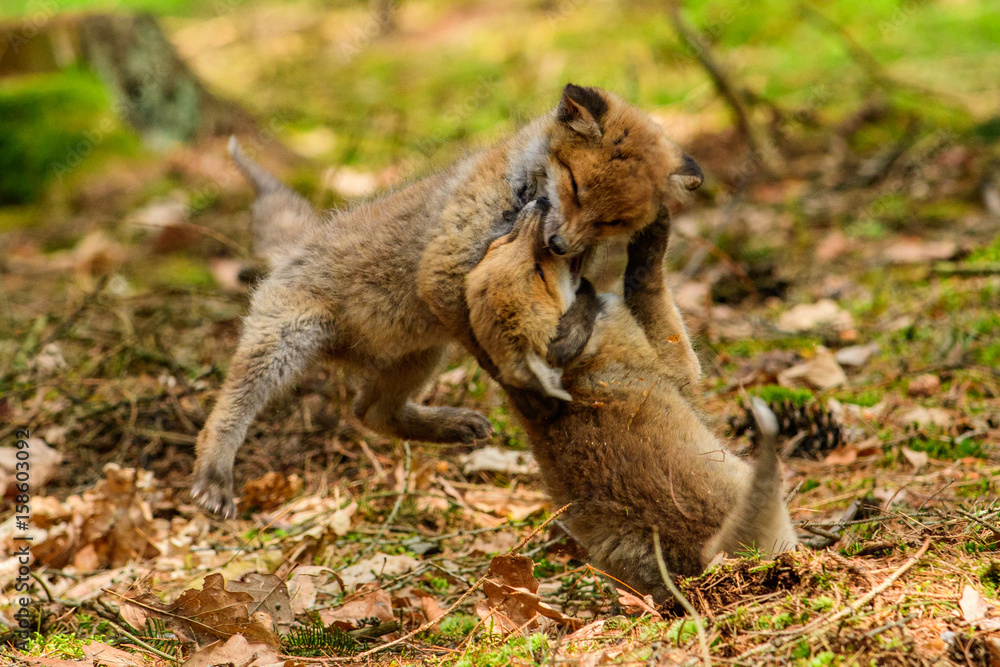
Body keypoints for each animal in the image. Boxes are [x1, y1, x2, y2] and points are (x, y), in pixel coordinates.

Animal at [191, 84, 703, 517]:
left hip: (420, 353)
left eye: (612, 221)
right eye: (576, 188)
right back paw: (214, 474)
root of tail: (300, 243)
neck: (521, 188)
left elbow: (569, 321)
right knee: (226, 411)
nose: (559, 244)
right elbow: (500, 357)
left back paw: (447, 426)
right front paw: (531, 394)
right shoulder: (445, 271)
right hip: (283, 346)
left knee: (369, 412)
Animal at [465, 199, 798, 600]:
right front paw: (653, 232)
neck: (579, 369)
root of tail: (704, 561)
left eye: (500, 245)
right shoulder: (676, 361)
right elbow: (648, 284)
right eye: (539, 272)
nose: (539, 204)